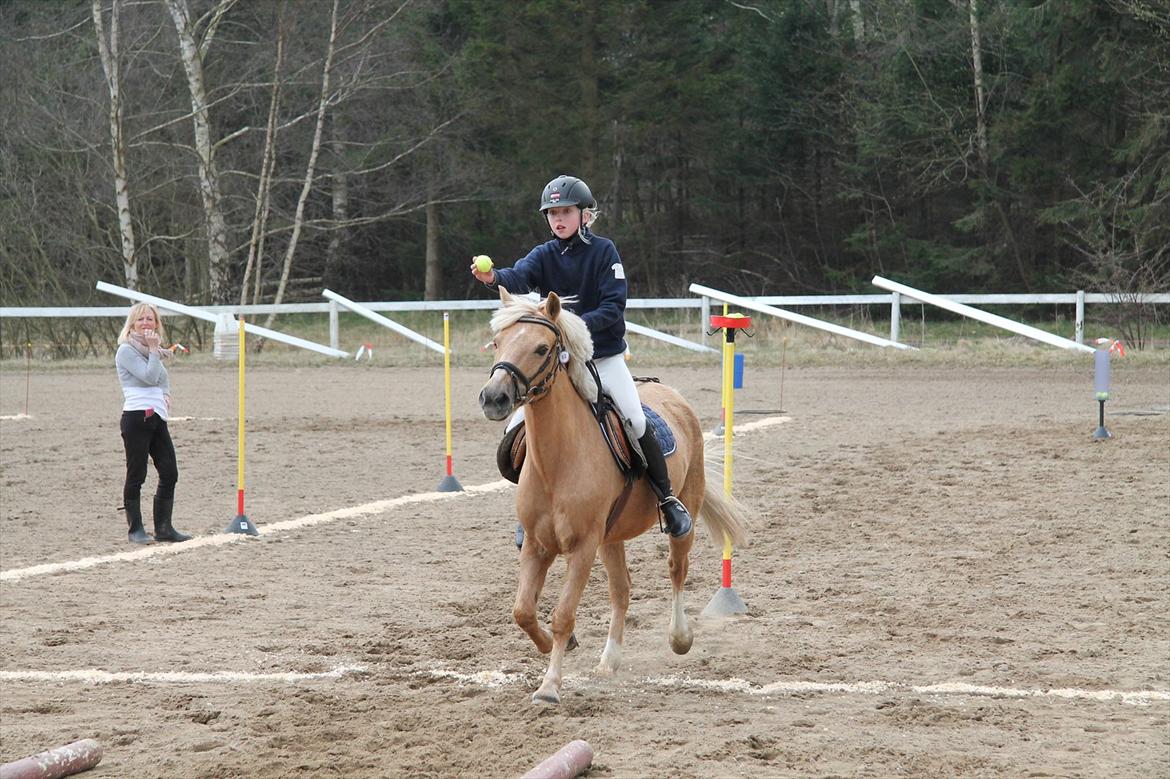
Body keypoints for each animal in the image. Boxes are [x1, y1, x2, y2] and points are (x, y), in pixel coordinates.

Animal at [478, 288, 748, 704]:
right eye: (497, 342)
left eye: (542, 348)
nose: (494, 398)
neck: (557, 462)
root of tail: (670, 394)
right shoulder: (538, 545)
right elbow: (522, 611)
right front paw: (555, 647)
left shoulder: (582, 547)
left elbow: (563, 614)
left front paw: (550, 685)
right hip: (611, 538)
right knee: (622, 590)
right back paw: (609, 661)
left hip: (682, 515)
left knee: (677, 570)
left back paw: (680, 638)